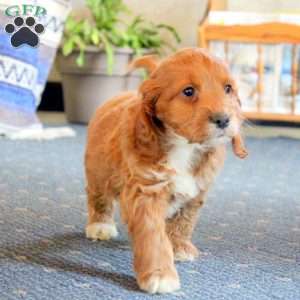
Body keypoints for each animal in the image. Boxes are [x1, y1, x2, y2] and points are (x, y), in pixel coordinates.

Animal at [84, 48, 246, 294]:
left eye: (228, 88)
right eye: (188, 91)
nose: (223, 119)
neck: (185, 146)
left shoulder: (197, 191)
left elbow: (183, 221)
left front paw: (178, 247)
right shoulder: (146, 190)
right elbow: (153, 235)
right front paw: (160, 274)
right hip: (99, 170)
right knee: (99, 197)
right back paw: (100, 225)